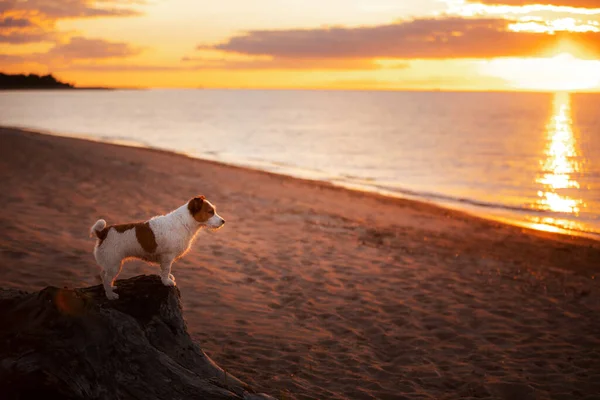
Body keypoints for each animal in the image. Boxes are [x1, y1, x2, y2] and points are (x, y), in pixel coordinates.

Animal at [86, 195, 223, 298]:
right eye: (210, 212)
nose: (223, 221)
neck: (183, 222)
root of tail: (103, 232)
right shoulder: (167, 256)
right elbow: (166, 270)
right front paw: (167, 281)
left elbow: (166, 270)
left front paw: (168, 278)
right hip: (114, 264)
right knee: (106, 278)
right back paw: (110, 295)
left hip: (110, 263)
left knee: (103, 275)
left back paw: (111, 287)